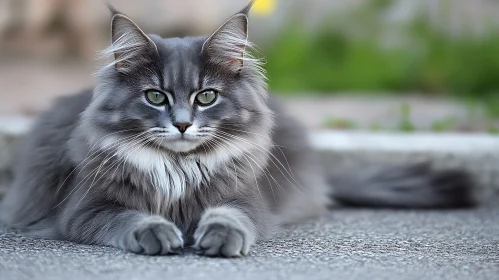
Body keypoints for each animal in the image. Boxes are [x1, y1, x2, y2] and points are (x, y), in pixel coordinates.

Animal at [0, 1, 476, 258]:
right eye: (155, 97)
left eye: (206, 97)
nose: (182, 124)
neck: (179, 169)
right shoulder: (86, 209)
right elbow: (129, 217)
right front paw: (157, 232)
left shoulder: (247, 200)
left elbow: (231, 217)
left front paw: (218, 238)